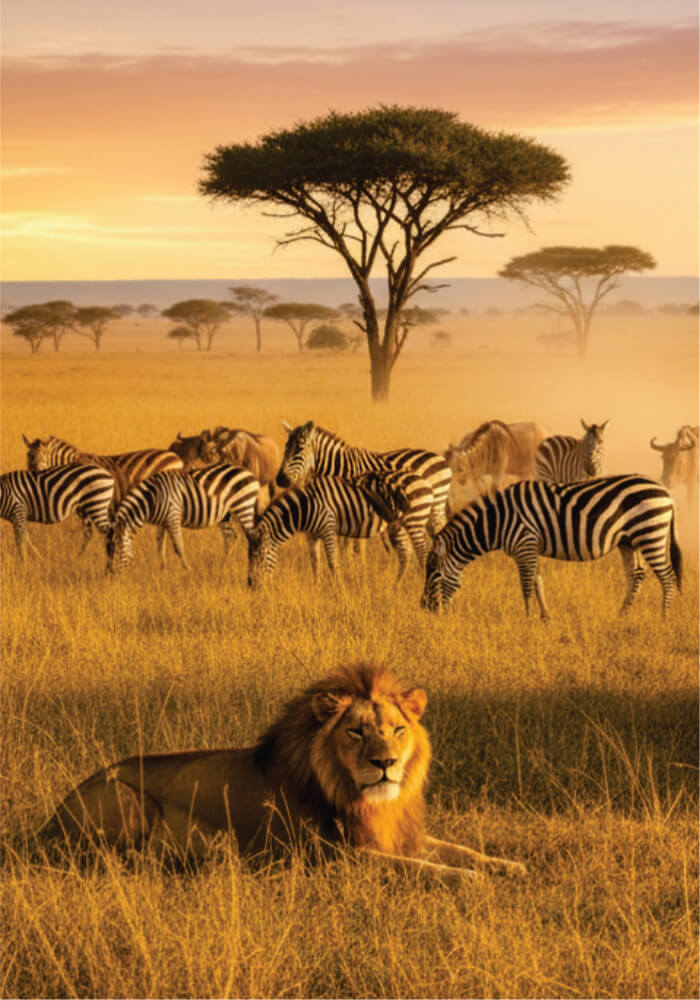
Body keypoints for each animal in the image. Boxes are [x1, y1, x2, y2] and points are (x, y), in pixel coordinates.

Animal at [39, 664, 526, 882]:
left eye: (397, 730)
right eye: (356, 732)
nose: (384, 764)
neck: (367, 801)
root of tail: (49, 821)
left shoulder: (396, 836)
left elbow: (460, 849)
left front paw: (508, 865)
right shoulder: (336, 856)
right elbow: (422, 868)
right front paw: (473, 881)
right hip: (126, 799)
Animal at [106, 465, 260, 572]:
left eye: (117, 551)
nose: (113, 574)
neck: (152, 498)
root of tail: (249, 473)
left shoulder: (173, 515)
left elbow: (178, 545)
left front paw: (187, 569)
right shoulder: (162, 522)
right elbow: (160, 543)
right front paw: (162, 568)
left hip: (244, 506)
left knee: (251, 537)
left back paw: (252, 566)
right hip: (225, 514)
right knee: (230, 536)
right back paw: (222, 564)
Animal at [247, 476, 412, 588]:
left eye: (259, 558)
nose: (252, 586)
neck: (306, 507)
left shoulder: (328, 529)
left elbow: (333, 563)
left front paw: (339, 590)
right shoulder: (311, 536)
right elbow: (315, 563)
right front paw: (317, 587)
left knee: (406, 554)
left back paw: (396, 586)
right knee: (406, 553)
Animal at [277, 421, 452, 535]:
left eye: (299, 451)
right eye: (285, 448)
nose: (280, 479)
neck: (341, 467)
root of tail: (442, 459)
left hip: (435, 504)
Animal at [420, 475, 681, 619]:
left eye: (435, 574)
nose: (424, 608)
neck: (498, 520)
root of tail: (667, 493)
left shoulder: (524, 543)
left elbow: (526, 584)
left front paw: (526, 619)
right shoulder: (531, 547)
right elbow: (537, 581)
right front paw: (544, 617)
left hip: (651, 534)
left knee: (667, 577)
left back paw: (664, 618)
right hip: (630, 541)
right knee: (637, 575)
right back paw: (622, 616)